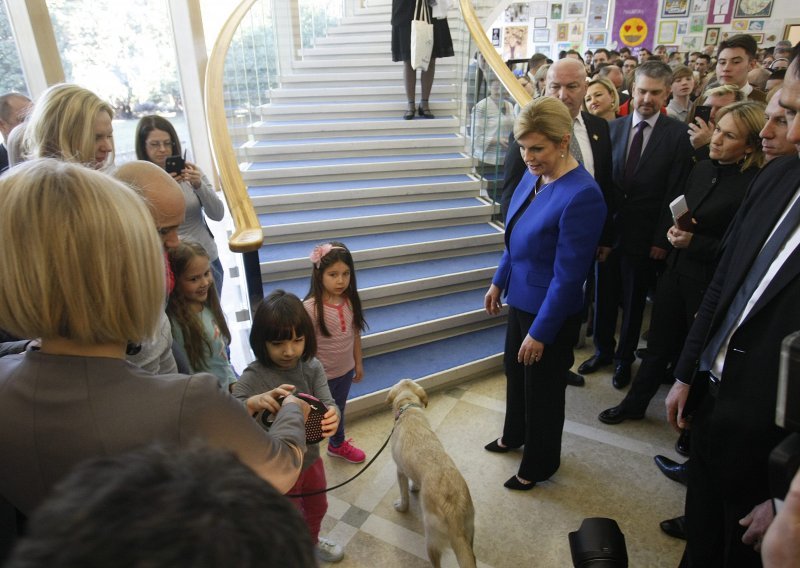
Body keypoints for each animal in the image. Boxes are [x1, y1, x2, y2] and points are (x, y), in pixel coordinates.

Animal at [386, 379, 476, 568]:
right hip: (470, 533)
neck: (408, 408)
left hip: (431, 540)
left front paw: (402, 507)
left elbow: (404, 495)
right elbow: (414, 480)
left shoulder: (400, 470)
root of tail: (453, 511)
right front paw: (415, 487)